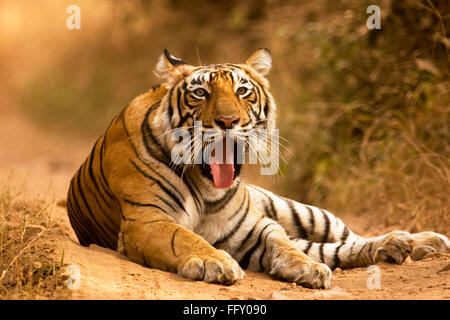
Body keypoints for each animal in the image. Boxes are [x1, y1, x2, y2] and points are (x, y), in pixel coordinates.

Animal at [67, 48, 450, 288]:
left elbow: (283, 244)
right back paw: (402, 247)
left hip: (302, 211)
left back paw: (418, 242)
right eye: (200, 93)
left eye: (243, 91)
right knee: (335, 249)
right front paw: (217, 262)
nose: (227, 121)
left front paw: (306, 268)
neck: (205, 187)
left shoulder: (253, 227)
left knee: (345, 238)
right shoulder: (146, 220)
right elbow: (185, 237)